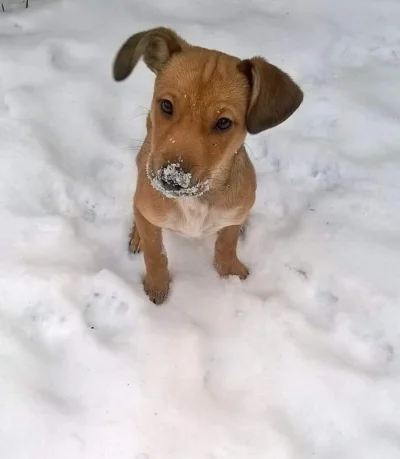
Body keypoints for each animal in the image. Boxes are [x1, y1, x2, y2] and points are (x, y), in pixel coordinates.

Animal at [112, 27, 304, 304]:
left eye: (224, 123)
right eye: (166, 105)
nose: (171, 179)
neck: (197, 200)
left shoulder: (234, 215)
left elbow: (227, 243)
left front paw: (230, 270)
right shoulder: (148, 210)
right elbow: (155, 252)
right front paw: (157, 286)